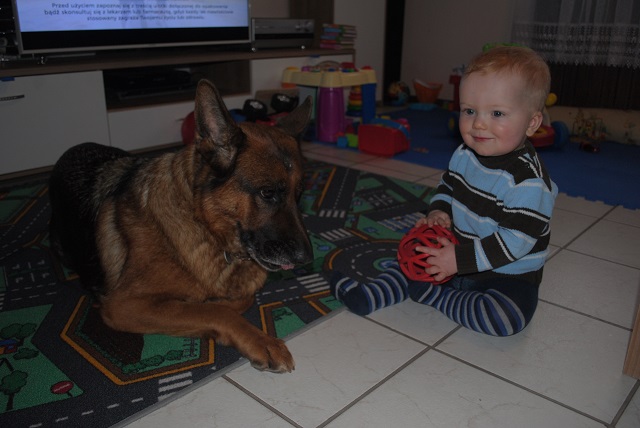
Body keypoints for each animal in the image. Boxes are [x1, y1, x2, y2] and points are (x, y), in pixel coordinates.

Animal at [49, 79, 313, 372]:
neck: (206, 227)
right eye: (268, 193)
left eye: (299, 194)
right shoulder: (123, 305)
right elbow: (218, 311)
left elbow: (235, 301)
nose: (307, 258)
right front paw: (261, 340)